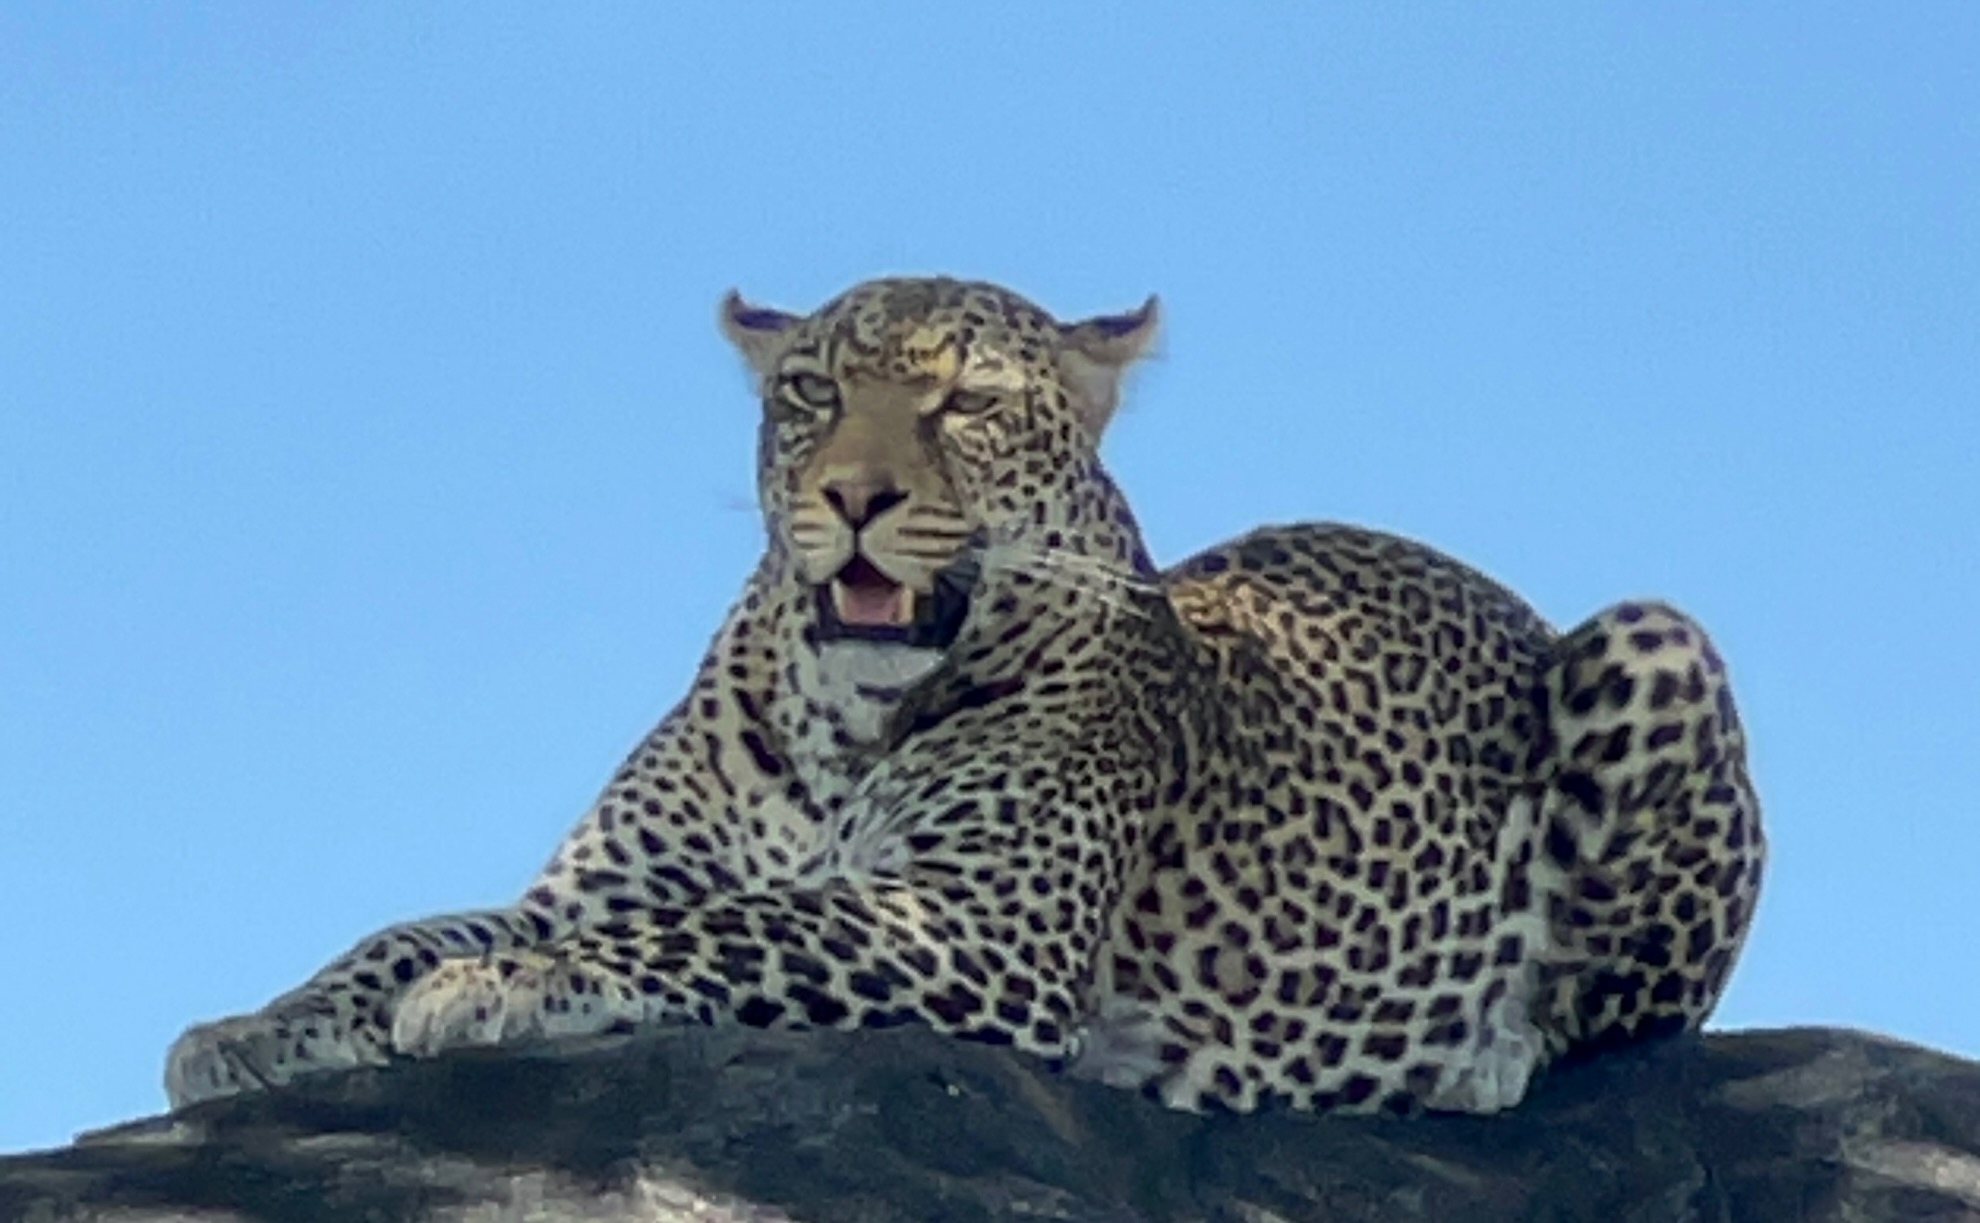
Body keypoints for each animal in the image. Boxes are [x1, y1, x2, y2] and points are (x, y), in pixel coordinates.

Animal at [165, 276, 1764, 1116]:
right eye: (809, 393)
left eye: (968, 404)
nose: (852, 496)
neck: (839, 720)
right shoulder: (599, 877)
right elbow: (408, 928)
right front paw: (257, 1026)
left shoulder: (977, 923)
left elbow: (728, 924)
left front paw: (498, 988)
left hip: (1660, 636)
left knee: (1628, 1011)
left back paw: (1479, 1050)